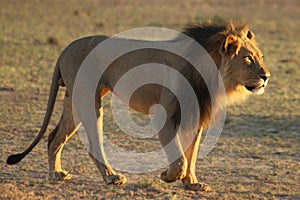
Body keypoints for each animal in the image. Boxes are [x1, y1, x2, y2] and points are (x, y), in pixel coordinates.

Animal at [6, 21, 270, 191]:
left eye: (261, 57)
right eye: (248, 58)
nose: (266, 76)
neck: (211, 73)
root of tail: (65, 49)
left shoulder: (196, 115)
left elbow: (191, 154)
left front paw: (192, 183)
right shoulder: (166, 113)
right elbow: (180, 158)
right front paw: (168, 176)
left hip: (73, 100)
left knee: (53, 137)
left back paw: (56, 174)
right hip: (88, 98)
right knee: (94, 141)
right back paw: (111, 178)